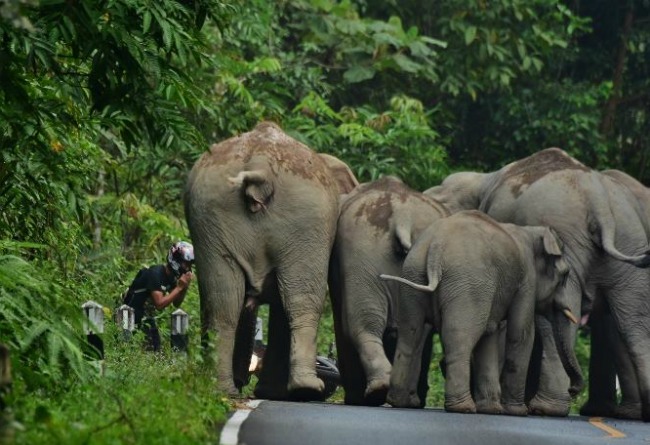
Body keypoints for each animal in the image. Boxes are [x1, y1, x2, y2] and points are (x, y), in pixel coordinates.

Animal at [182, 121, 356, 398]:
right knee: (301, 300)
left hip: (212, 218)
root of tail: (261, 165)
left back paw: (223, 389)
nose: (243, 378)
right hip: (306, 224)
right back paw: (302, 389)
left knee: (223, 300)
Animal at [422, 148, 648, 420]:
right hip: (629, 237)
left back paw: (545, 408)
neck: (482, 179)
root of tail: (599, 201)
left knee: (555, 321)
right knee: (633, 323)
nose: (575, 389)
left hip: (568, 236)